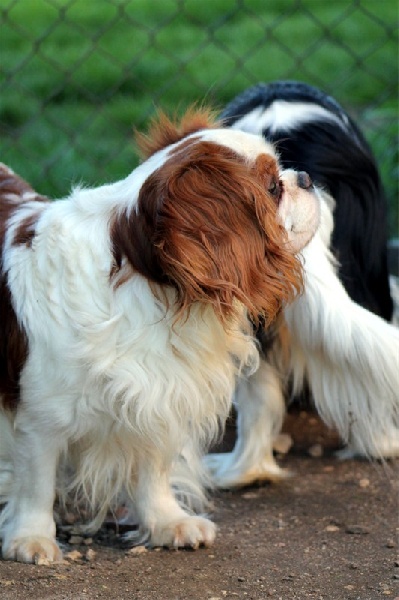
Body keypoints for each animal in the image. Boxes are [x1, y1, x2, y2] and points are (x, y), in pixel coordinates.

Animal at [0, 110, 320, 564]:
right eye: (273, 187)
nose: (306, 177)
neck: (153, 290)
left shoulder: (159, 393)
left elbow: (152, 469)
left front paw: (167, 522)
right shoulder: (38, 416)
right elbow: (37, 481)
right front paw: (31, 538)